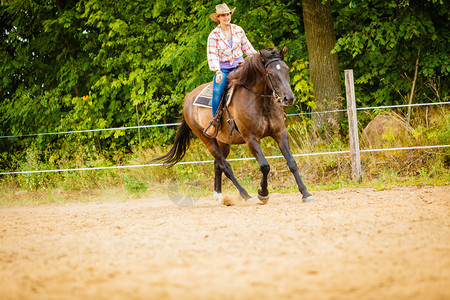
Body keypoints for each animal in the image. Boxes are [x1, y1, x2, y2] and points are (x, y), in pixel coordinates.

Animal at [154, 46, 312, 204]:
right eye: (271, 74)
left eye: (286, 69)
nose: (288, 98)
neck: (261, 102)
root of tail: (188, 98)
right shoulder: (251, 138)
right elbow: (264, 166)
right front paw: (263, 193)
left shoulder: (280, 133)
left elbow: (291, 162)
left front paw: (305, 193)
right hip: (208, 140)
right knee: (226, 166)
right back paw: (245, 195)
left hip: (223, 141)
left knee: (217, 164)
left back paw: (219, 195)